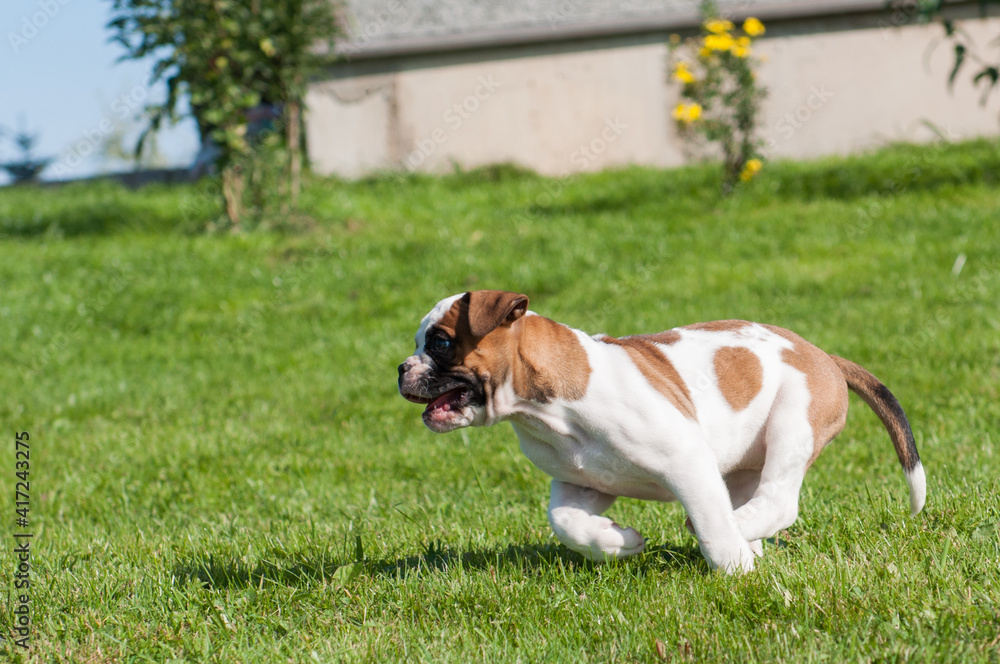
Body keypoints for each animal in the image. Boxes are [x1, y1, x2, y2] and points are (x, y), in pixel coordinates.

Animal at [394, 288, 924, 572]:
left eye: (439, 343)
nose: (400, 368)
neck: (545, 409)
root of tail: (823, 355)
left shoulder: (686, 461)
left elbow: (711, 524)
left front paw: (733, 567)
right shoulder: (579, 481)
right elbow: (564, 521)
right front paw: (616, 542)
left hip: (793, 423)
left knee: (776, 500)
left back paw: (741, 534)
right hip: (742, 465)